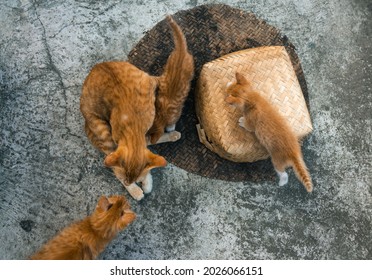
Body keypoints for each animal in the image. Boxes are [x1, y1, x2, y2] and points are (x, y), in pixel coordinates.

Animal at [82, 61, 168, 201]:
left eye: (136, 179)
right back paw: (136, 192)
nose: (128, 183)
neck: (133, 127)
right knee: (112, 166)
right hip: (102, 130)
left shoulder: (149, 80)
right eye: (126, 179)